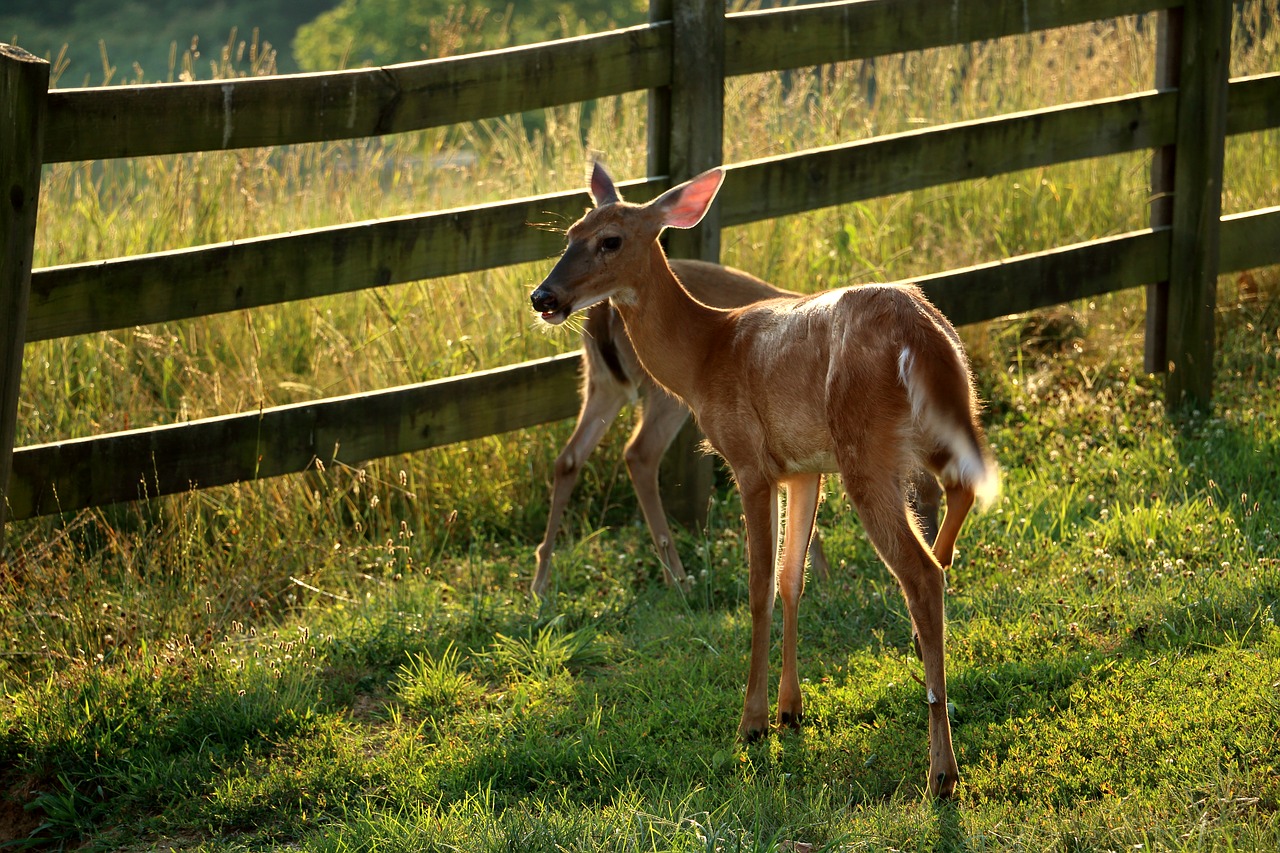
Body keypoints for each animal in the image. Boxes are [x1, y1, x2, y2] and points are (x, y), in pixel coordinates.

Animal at [529, 258, 839, 596]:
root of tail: (602, 311)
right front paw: (820, 573)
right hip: (664, 394)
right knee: (639, 453)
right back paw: (677, 577)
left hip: (602, 381)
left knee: (569, 457)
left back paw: (541, 579)